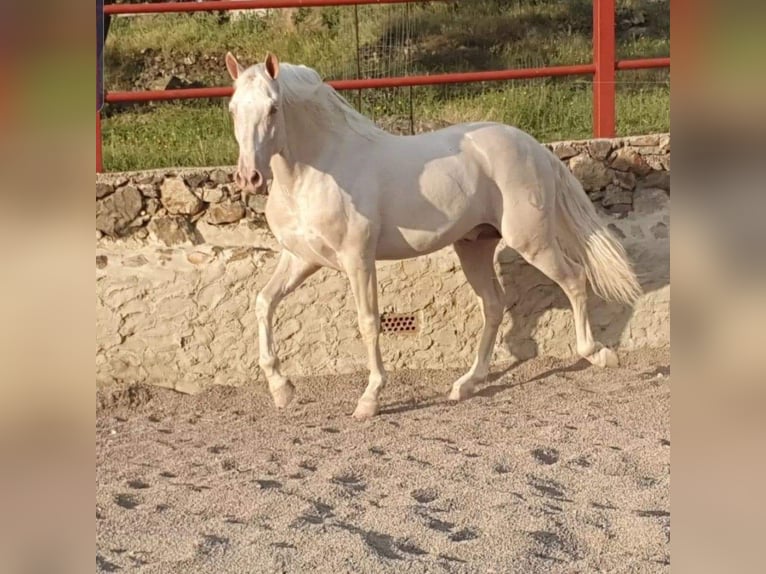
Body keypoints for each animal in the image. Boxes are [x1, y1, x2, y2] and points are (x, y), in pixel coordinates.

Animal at [226, 51, 640, 420]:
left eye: (273, 108)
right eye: (232, 109)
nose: (249, 178)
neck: (318, 170)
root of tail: (535, 148)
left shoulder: (357, 259)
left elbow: (368, 321)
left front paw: (369, 401)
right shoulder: (303, 258)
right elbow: (263, 302)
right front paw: (282, 390)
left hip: (531, 240)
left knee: (574, 279)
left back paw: (600, 354)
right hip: (474, 245)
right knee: (494, 304)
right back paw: (467, 384)